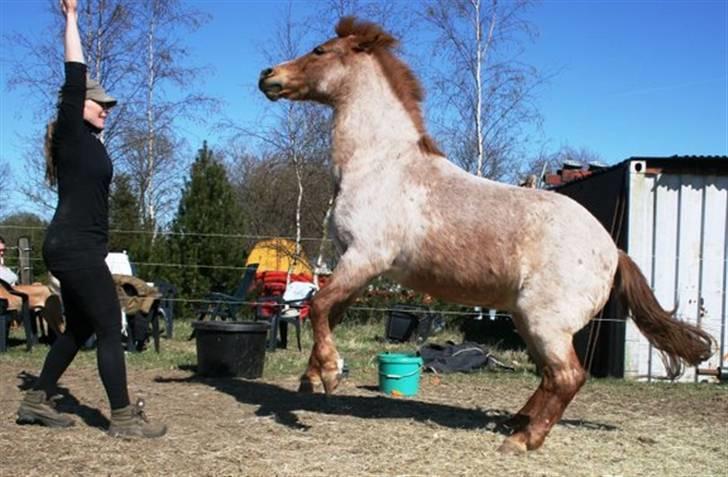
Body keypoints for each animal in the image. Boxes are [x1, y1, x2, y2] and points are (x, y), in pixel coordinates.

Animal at [258, 16, 712, 452]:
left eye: (320, 50)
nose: (268, 75)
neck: (382, 165)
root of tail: (613, 251)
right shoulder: (356, 266)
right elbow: (327, 312)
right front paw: (313, 378)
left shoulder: (365, 258)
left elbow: (317, 306)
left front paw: (329, 375)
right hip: (528, 320)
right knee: (550, 377)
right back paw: (516, 422)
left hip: (545, 322)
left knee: (567, 376)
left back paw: (522, 441)